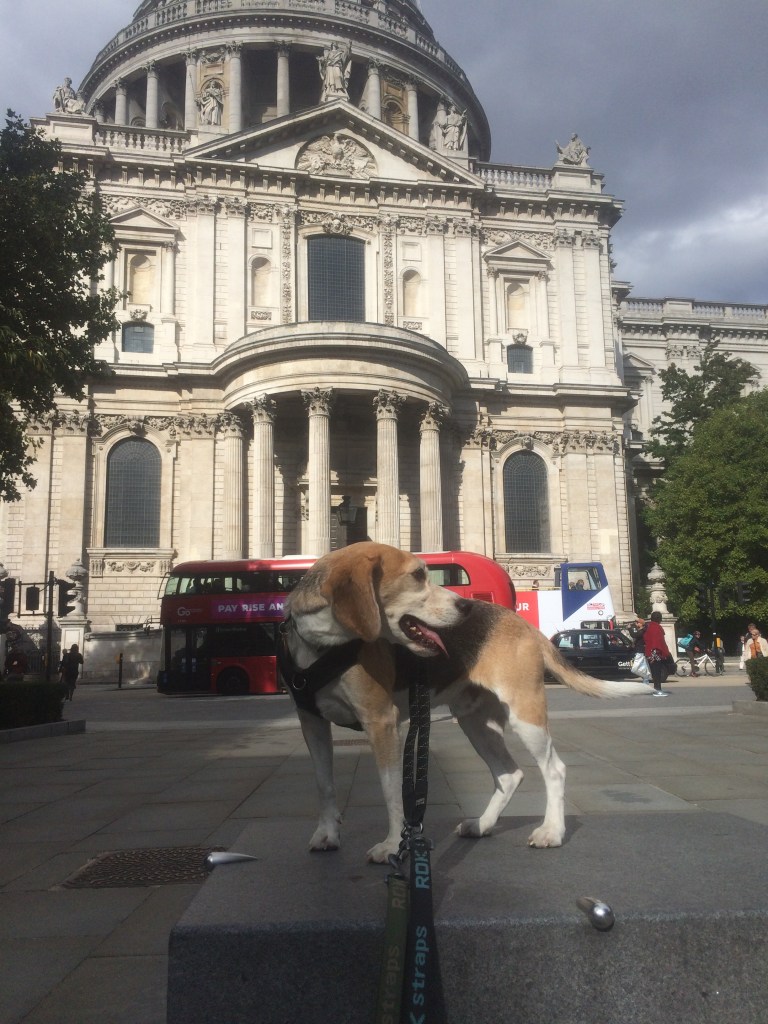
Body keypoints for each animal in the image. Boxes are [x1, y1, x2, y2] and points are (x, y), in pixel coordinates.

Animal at [281, 541, 648, 862]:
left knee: (553, 769)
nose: (465, 606)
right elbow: (324, 783)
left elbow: (392, 790)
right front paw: (327, 834)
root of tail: (522, 623)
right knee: (509, 775)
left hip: (525, 716)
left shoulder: (381, 721)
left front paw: (393, 845)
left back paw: (552, 832)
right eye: (417, 575)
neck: (323, 646)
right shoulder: (311, 722)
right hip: (475, 723)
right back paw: (483, 824)